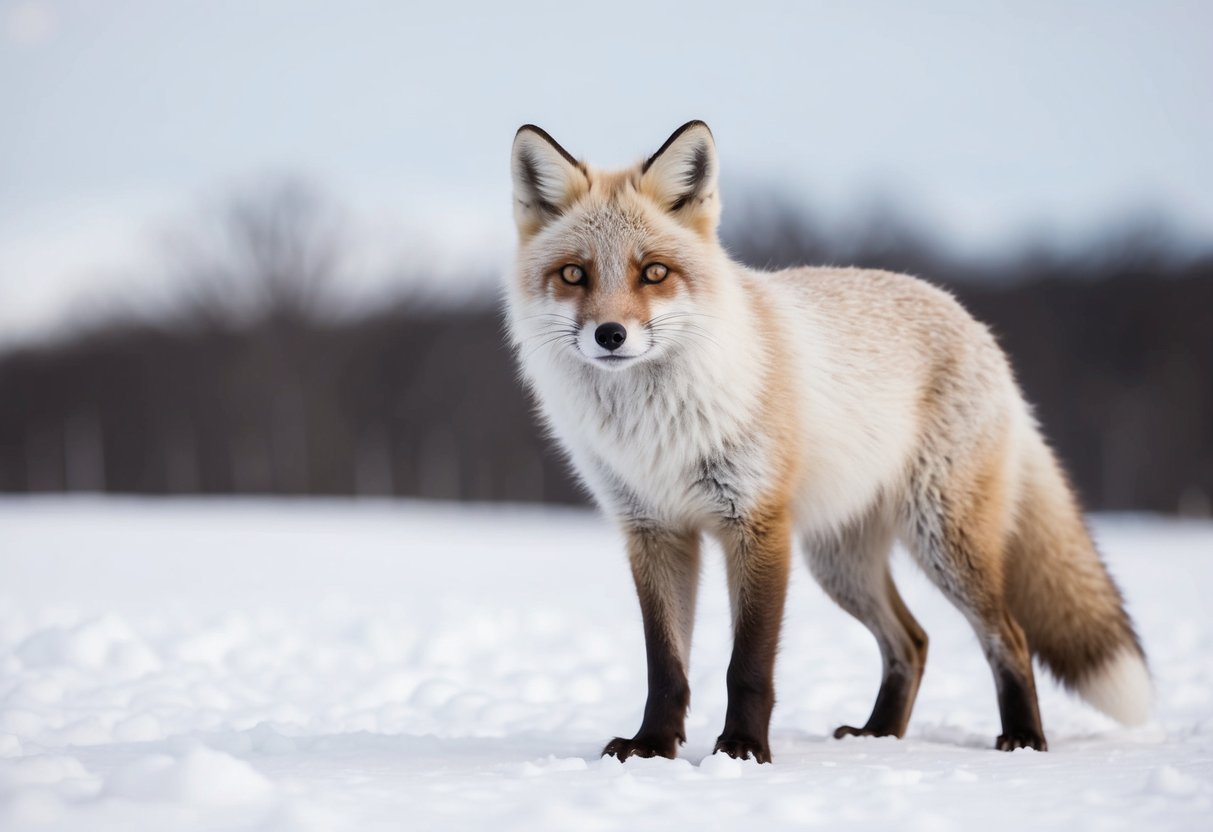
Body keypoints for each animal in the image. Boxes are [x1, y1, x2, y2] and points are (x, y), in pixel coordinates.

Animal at [504, 120, 1150, 763]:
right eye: (574, 274)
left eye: (654, 272)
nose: (610, 335)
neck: (655, 427)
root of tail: (975, 325)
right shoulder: (654, 531)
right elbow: (664, 666)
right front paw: (653, 747)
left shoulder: (757, 523)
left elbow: (748, 665)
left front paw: (742, 749)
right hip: (841, 563)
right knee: (913, 641)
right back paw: (880, 734)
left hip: (944, 543)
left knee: (1008, 637)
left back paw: (1024, 739)